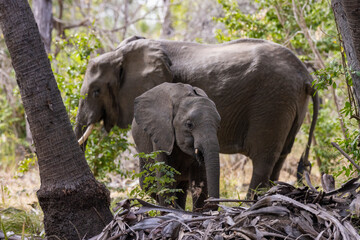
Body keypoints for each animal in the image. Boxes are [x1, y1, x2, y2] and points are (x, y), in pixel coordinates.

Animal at [74, 36, 316, 196]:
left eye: (96, 91)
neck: (121, 54)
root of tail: (307, 76)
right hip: (290, 105)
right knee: (280, 157)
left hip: (273, 102)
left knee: (262, 160)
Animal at [132, 82, 221, 210]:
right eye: (189, 125)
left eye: (218, 126)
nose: (210, 204)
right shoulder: (161, 133)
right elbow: (164, 178)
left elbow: (199, 179)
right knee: (147, 185)